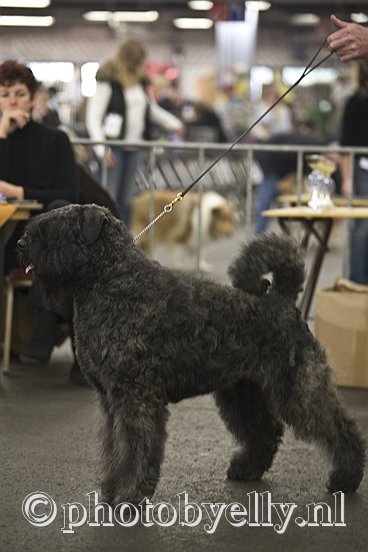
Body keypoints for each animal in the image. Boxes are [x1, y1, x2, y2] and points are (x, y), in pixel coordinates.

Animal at [18, 204, 366, 504]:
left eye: (54, 228)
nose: (21, 243)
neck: (113, 281)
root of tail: (282, 300)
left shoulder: (135, 398)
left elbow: (134, 449)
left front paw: (129, 495)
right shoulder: (111, 401)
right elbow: (114, 447)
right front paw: (111, 489)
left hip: (298, 391)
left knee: (340, 427)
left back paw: (345, 478)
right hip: (242, 391)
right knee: (264, 430)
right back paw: (247, 469)